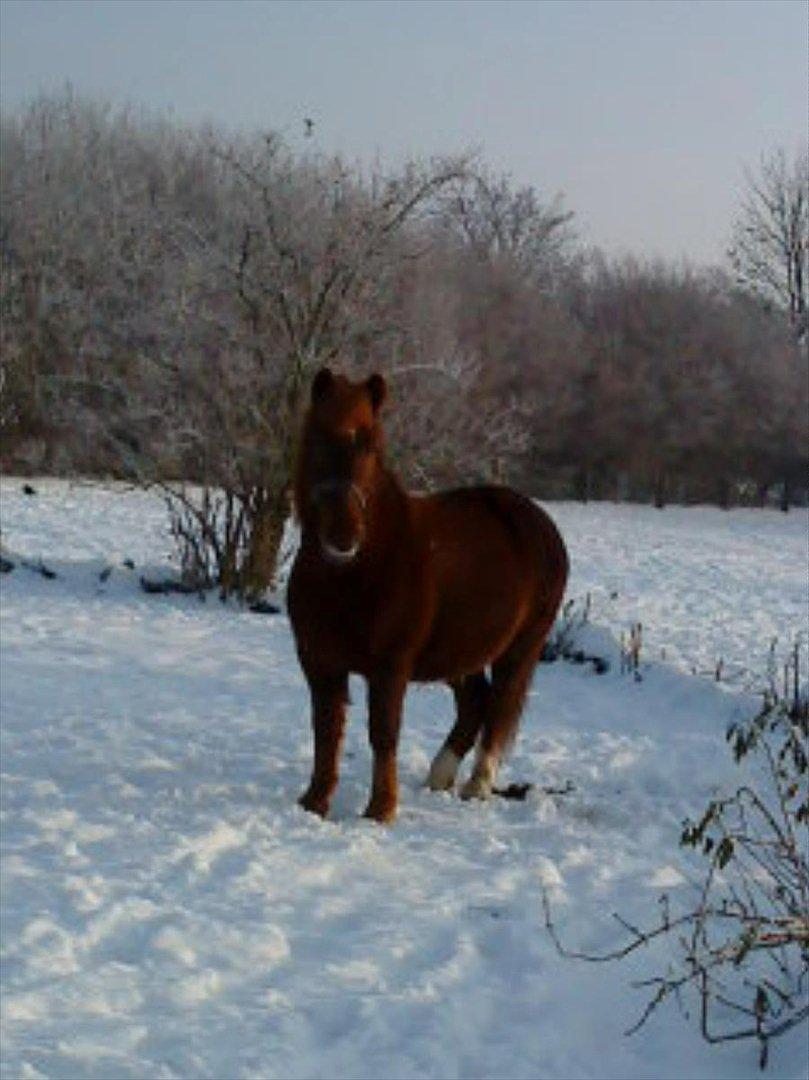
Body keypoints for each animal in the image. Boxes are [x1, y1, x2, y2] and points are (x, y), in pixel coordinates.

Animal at [287, 367, 565, 820]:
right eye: (317, 435)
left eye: (373, 444)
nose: (344, 536)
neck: (357, 571)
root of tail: (538, 521)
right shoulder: (318, 661)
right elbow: (326, 731)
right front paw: (314, 802)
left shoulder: (390, 666)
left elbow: (383, 733)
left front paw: (380, 810)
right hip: (461, 653)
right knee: (476, 703)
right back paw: (439, 777)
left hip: (521, 647)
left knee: (500, 706)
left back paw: (476, 785)